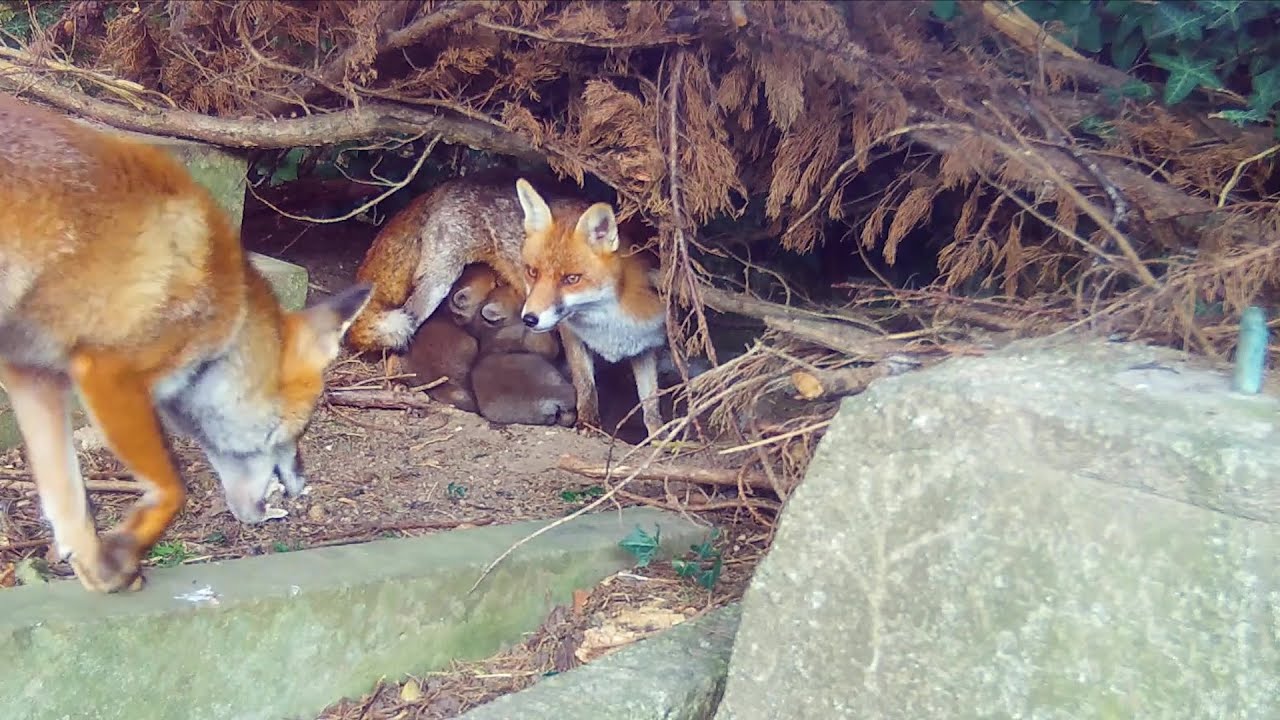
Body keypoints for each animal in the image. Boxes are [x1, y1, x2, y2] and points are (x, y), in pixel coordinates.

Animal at [0, 94, 372, 593]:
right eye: (302, 429)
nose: (300, 487)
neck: (230, 320)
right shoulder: (106, 372)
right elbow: (176, 488)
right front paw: (128, 547)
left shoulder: (33, 375)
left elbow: (69, 504)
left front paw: (99, 570)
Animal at [514, 179, 668, 438]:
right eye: (532, 272)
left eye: (571, 279)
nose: (530, 319)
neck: (609, 322)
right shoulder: (572, 334)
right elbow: (585, 384)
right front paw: (588, 421)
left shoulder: (648, 344)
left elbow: (651, 401)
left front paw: (662, 436)